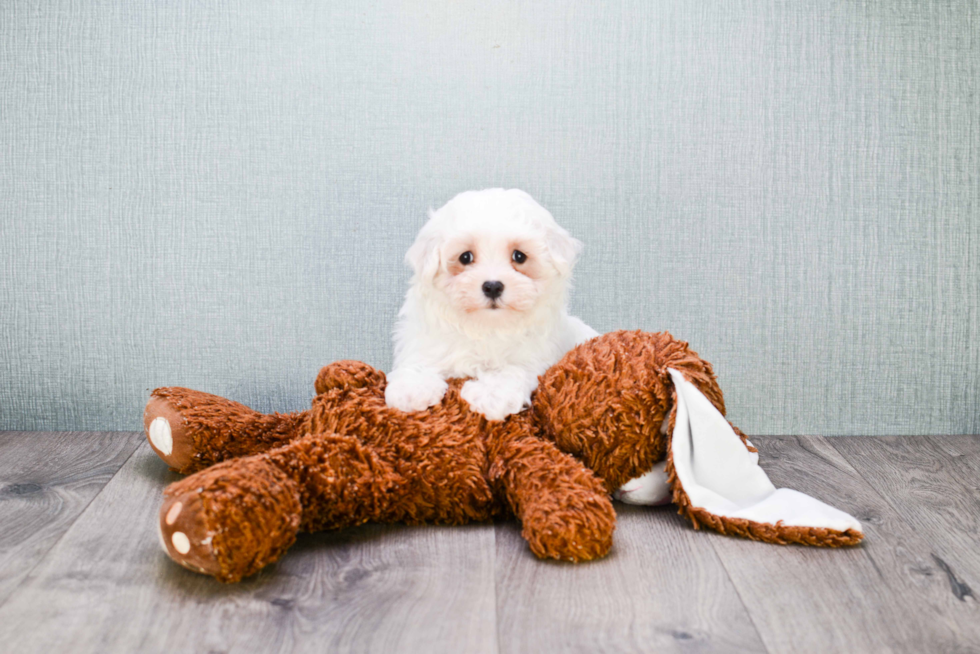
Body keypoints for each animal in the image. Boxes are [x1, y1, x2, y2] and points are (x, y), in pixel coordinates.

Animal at [384, 190, 596, 422]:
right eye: (465, 257)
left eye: (519, 256)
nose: (493, 286)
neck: (486, 326)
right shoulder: (427, 339)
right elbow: (419, 359)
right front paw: (412, 389)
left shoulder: (532, 355)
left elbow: (511, 371)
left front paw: (490, 396)